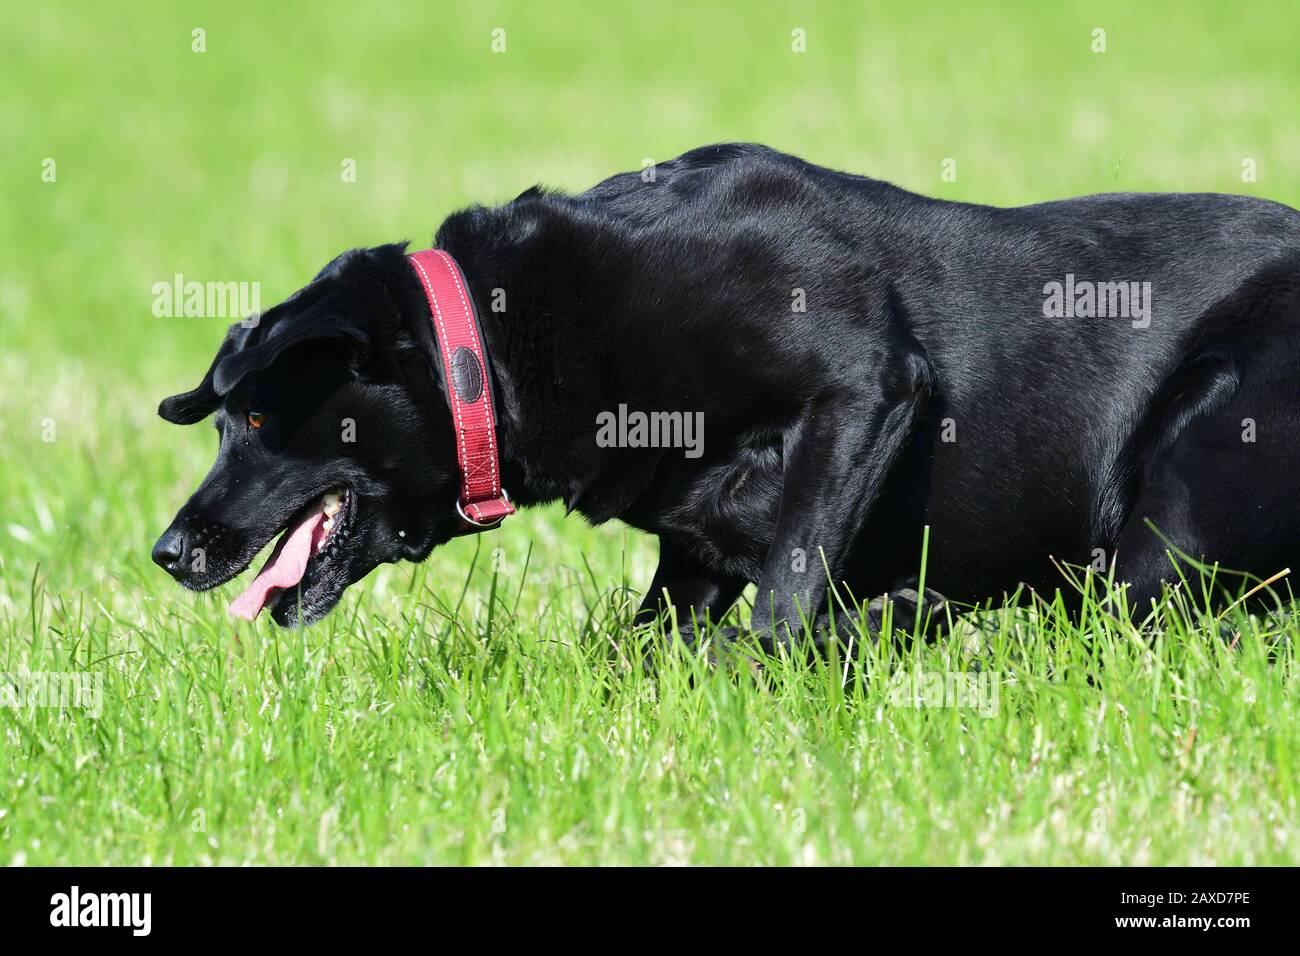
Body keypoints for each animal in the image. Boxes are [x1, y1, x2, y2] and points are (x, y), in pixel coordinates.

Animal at [152, 141, 1300, 647]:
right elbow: (643, 632)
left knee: (1128, 620)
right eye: (222, 420)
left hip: (1192, 465)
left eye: (256, 418)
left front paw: (787, 652)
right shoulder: (691, 545)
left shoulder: (866, 381)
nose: (167, 552)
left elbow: (784, 598)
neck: (497, 339)